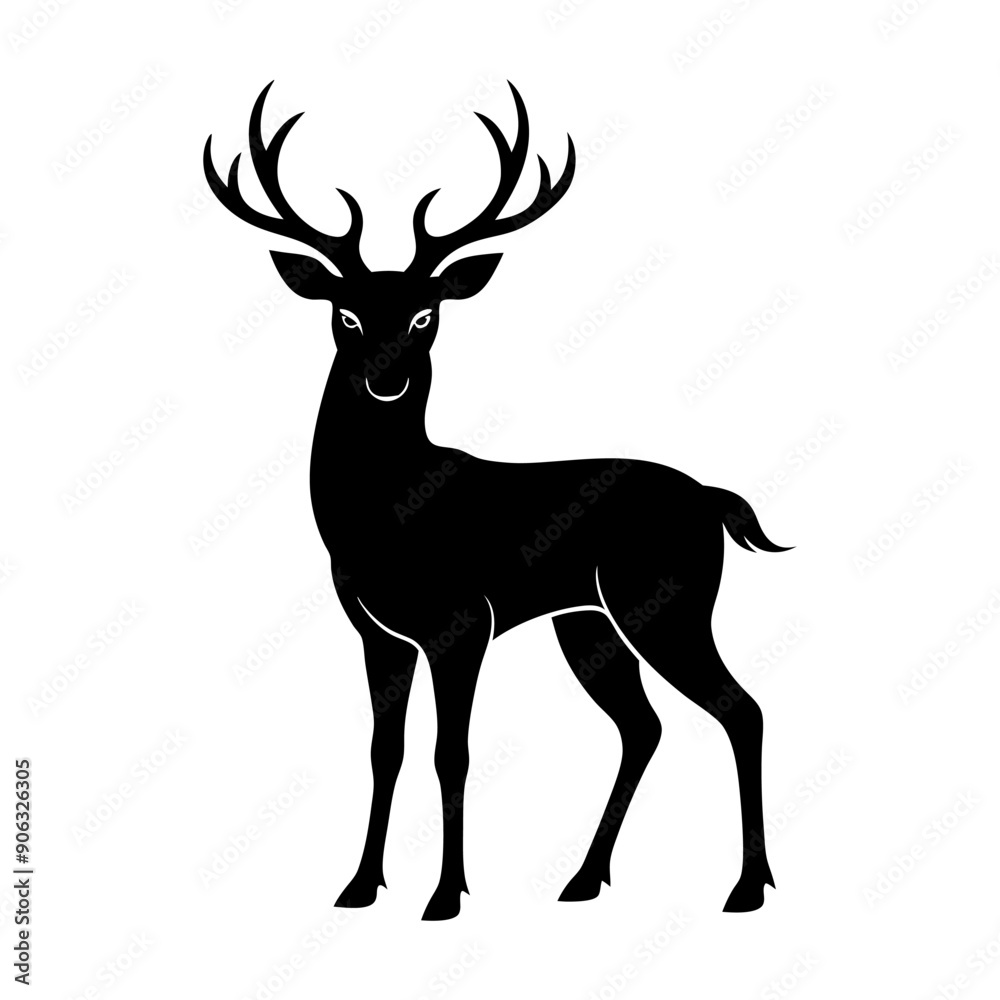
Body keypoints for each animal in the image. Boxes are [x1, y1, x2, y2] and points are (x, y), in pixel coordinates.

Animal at [204, 81, 789, 921]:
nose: (386, 379)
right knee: (643, 726)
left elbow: (452, 753)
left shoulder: (462, 622)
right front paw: (359, 885)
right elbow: (385, 750)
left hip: (667, 601)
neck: (382, 517)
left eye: (426, 313)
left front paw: (446, 895)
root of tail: (711, 500)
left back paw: (745, 888)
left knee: (741, 708)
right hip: (588, 622)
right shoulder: (377, 632)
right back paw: (583, 879)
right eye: (346, 312)